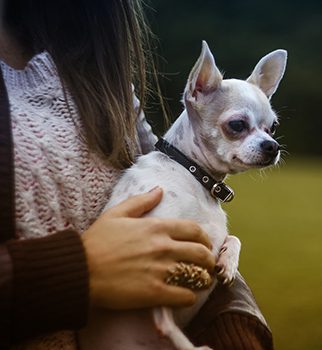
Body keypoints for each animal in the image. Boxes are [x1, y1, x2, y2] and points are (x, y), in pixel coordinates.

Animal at [79, 41, 288, 350]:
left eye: (272, 127)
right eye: (237, 125)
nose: (272, 146)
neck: (193, 174)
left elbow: (234, 238)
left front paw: (228, 261)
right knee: (162, 318)